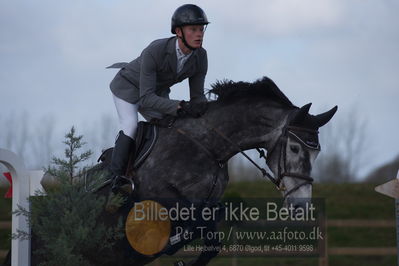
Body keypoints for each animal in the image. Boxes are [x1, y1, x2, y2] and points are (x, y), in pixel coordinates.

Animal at [91, 76, 338, 264]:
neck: (208, 146)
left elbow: (213, 233)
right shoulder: (155, 198)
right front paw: (174, 244)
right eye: (295, 148)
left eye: (317, 154)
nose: (301, 206)